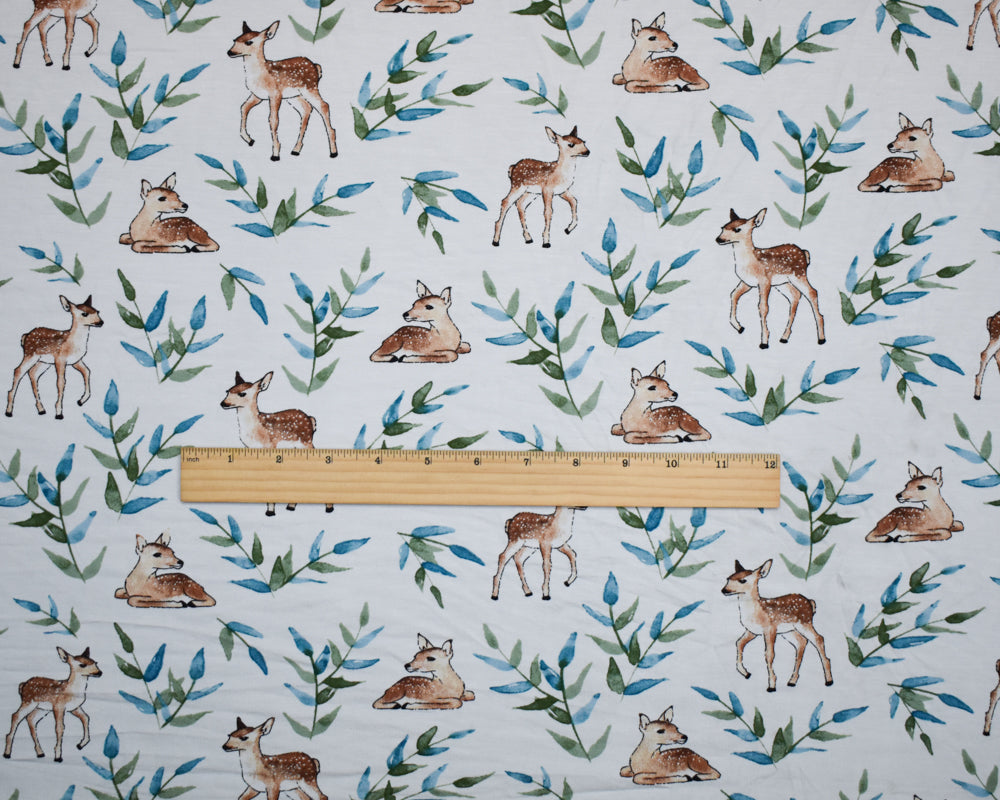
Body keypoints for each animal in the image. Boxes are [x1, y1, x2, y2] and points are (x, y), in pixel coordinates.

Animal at [220, 371, 333, 517]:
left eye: (242, 393)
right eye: (227, 391)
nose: (223, 403)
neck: (256, 429)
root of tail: (311, 420)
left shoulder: (270, 445)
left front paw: (270, 511)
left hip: (306, 442)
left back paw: (329, 508)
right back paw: (291, 506)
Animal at [227, 21, 338, 161]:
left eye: (249, 42)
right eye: (235, 40)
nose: (230, 52)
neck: (261, 75)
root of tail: (316, 67)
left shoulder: (275, 93)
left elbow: (273, 120)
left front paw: (275, 153)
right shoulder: (257, 95)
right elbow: (243, 108)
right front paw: (249, 139)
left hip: (310, 88)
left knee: (324, 106)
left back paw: (333, 151)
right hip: (295, 96)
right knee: (306, 109)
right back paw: (296, 149)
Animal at [716, 208, 825, 349]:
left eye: (737, 229)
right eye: (723, 227)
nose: (719, 239)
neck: (751, 263)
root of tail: (804, 253)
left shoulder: (764, 281)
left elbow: (763, 307)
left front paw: (764, 341)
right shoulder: (747, 282)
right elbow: (733, 295)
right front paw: (739, 327)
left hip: (799, 275)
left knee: (812, 292)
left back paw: (821, 338)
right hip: (784, 283)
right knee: (795, 296)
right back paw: (784, 337)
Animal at [722, 559, 834, 692]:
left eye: (743, 580)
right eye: (728, 578)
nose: (724, 590)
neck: (756, 612)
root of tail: (811, 602)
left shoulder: (770, 628)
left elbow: (769, 655)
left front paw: (771, 685)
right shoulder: (752, 631)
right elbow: (739, 643)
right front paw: (746, 673)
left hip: (804, 622)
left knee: (818, 638)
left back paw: (828, 680)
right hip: (790, 630)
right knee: (802, 642)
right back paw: (792, 681)